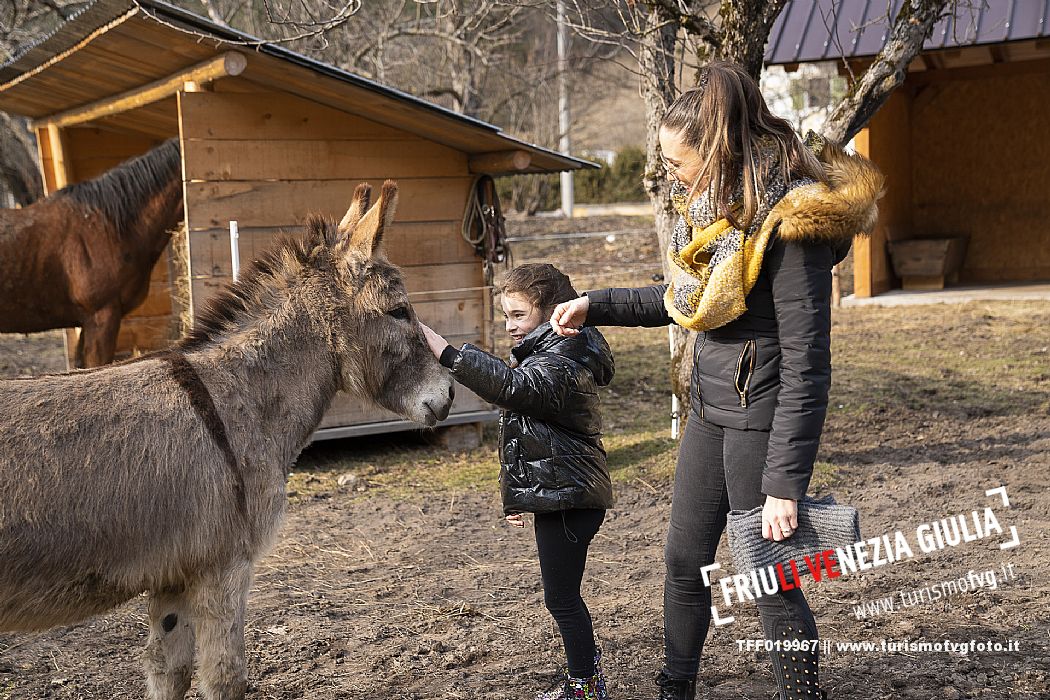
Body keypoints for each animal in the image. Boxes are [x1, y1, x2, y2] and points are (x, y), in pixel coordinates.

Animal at [0, 183, 449, 696]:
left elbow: (167, 669)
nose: (449, 395)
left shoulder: (174, 573)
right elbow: (224, 676)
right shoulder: (225, 567)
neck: (235, 398)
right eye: (399, 311)